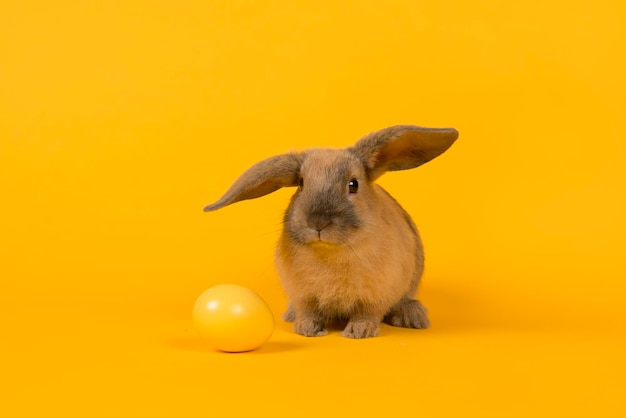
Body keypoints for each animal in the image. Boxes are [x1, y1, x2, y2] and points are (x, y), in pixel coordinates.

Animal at [202, 125, 456, 340]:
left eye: (353, 184)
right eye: (301, 184)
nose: (318, 223)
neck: (330, 252)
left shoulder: (377, 294)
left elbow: (368, 313)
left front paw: (359, 331)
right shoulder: (303, 294)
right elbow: (309, 311)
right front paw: (306, 328)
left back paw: (412, 316)